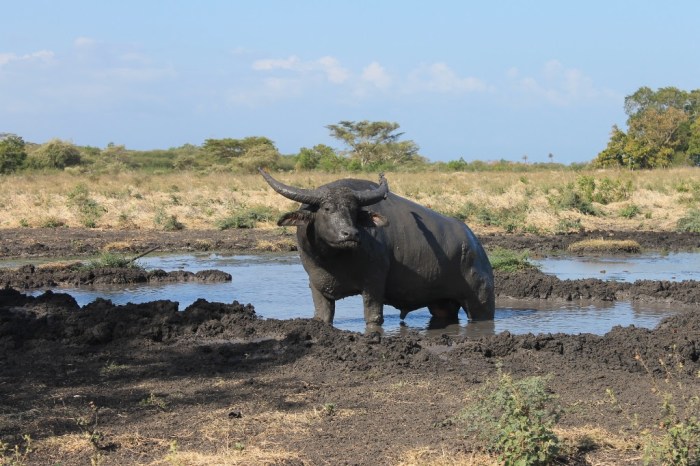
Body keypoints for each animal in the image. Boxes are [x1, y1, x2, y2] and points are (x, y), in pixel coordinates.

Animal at [260, 168, 494, 328]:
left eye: (354, 210)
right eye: (326, 208)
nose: (350, 234)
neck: (334, 260)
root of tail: (473, 242)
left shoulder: (373, 284)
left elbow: (373, 317)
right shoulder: (317, 286)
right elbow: (323, 316)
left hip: (481, 302)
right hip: (442, 305)